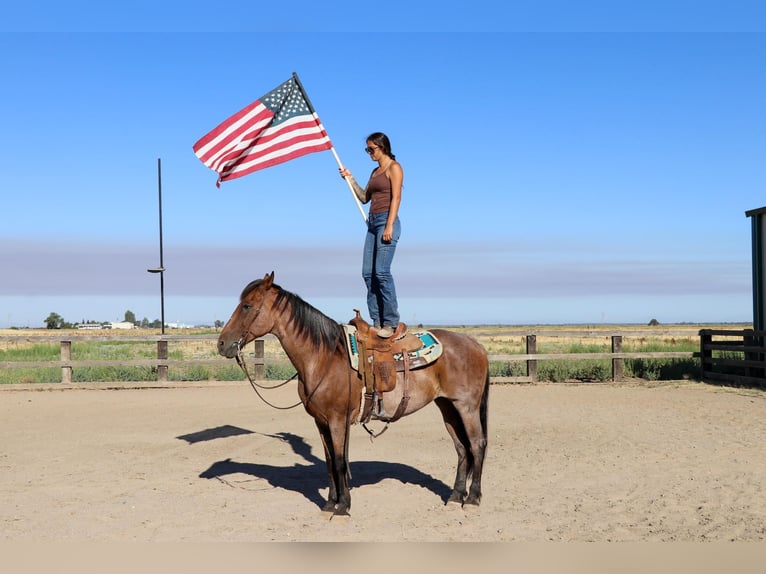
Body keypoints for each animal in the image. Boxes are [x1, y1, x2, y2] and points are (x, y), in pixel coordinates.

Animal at [218, 274, 492, 516]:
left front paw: (342, 508)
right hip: (447, 406)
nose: (222, 344)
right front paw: (330, 504)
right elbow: (330, 462)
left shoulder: (338, 420)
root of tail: (475, 344)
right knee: (461, 448)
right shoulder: (321, 421)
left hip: (466, 407)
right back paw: (455, 497)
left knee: (476, 444)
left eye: (246, 305)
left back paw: (473, 499)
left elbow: (340, 461)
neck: (323, 357)